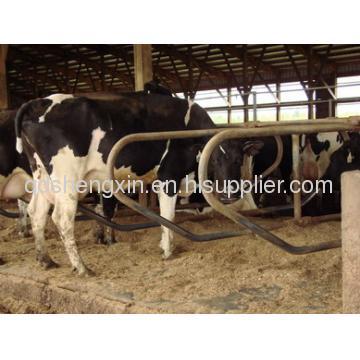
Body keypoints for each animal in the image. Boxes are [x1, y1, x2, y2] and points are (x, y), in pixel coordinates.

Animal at [14, 92, 262, 276]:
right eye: (215, 159)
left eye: (239, 159)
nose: (230, 195)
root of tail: (42, 101)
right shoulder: (169, 174)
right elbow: (168, 215)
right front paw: (168, 251)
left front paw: (164, 245)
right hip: (67, 179)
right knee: (61, 219)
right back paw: (82, 267)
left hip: (42, 176)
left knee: (36, 212)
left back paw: (45, 260)